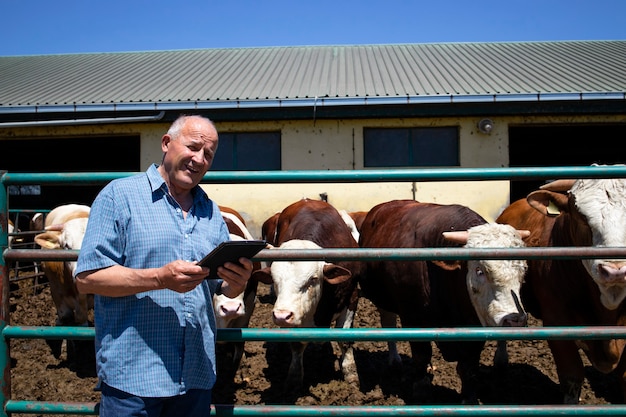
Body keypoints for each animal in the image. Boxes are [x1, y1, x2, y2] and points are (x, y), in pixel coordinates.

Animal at [251, 198, 364, 390]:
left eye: (313, 279)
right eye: (274, 279)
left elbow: (345, 339)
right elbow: (297, 345)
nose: (281, 316)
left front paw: (351, 374)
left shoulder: (351, 297)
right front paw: (294, 379)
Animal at [356, 198, 528, 404]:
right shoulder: (413, 317)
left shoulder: (475, 324)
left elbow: (469, 367)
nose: (515, 320)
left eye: (523, 270)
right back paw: (395, 361)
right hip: (382, 297)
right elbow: (421, 355)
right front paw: (421, 392)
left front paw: (469, 398)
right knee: (388, 321)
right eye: (479, 270)